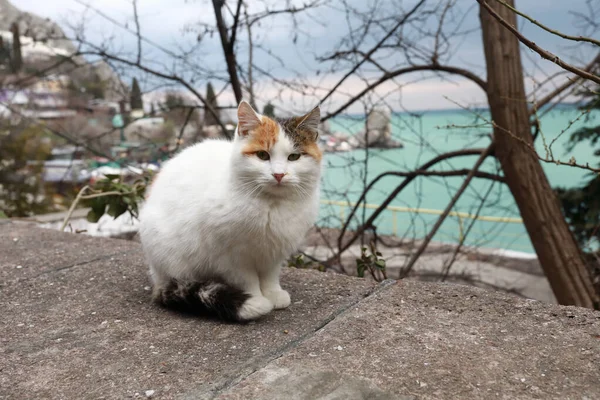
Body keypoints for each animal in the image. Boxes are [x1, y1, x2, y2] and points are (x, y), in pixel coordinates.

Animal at [139, 101, 324, 322]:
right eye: (262, 155)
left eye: (294, 157)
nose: (279, 175)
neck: (272, 206)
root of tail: (157, 278)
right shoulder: (231, 256)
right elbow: (247, 280)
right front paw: (257, 299)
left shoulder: (274, 251)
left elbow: (270, 276)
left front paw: (273, 294)